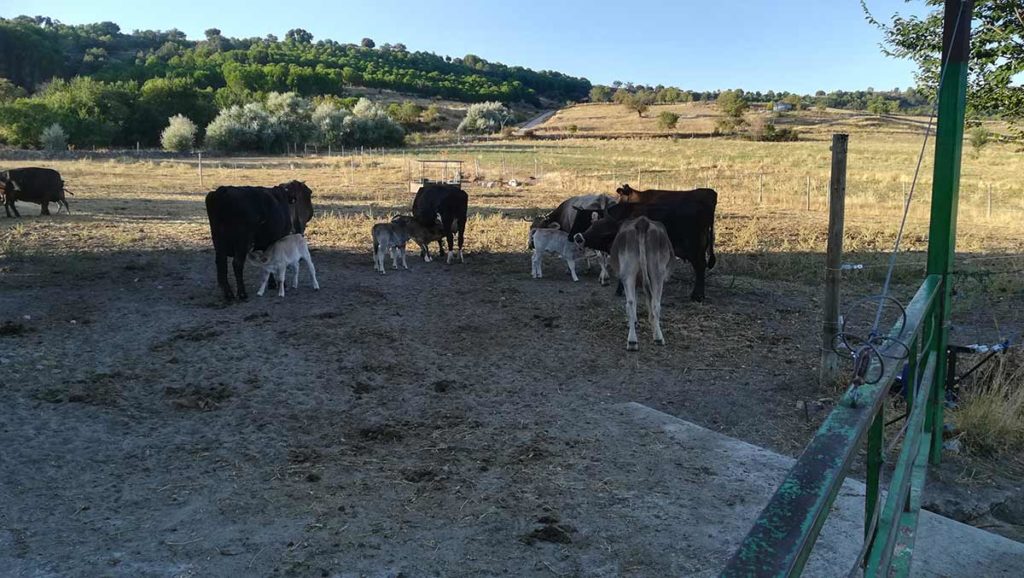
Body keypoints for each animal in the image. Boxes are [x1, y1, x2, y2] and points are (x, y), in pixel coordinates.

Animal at [574, 195, 715, 302]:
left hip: (694, 250)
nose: (578, 237)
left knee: (700, 267)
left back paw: (697, 295)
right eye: (593, 226)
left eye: (602, 234)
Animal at [610, 217, 674, 351]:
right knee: (655, 303)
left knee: (630, 303)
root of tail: (642, 222)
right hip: (657, 273)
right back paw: (657, 338)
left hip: (628, 273)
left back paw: (632, 341)